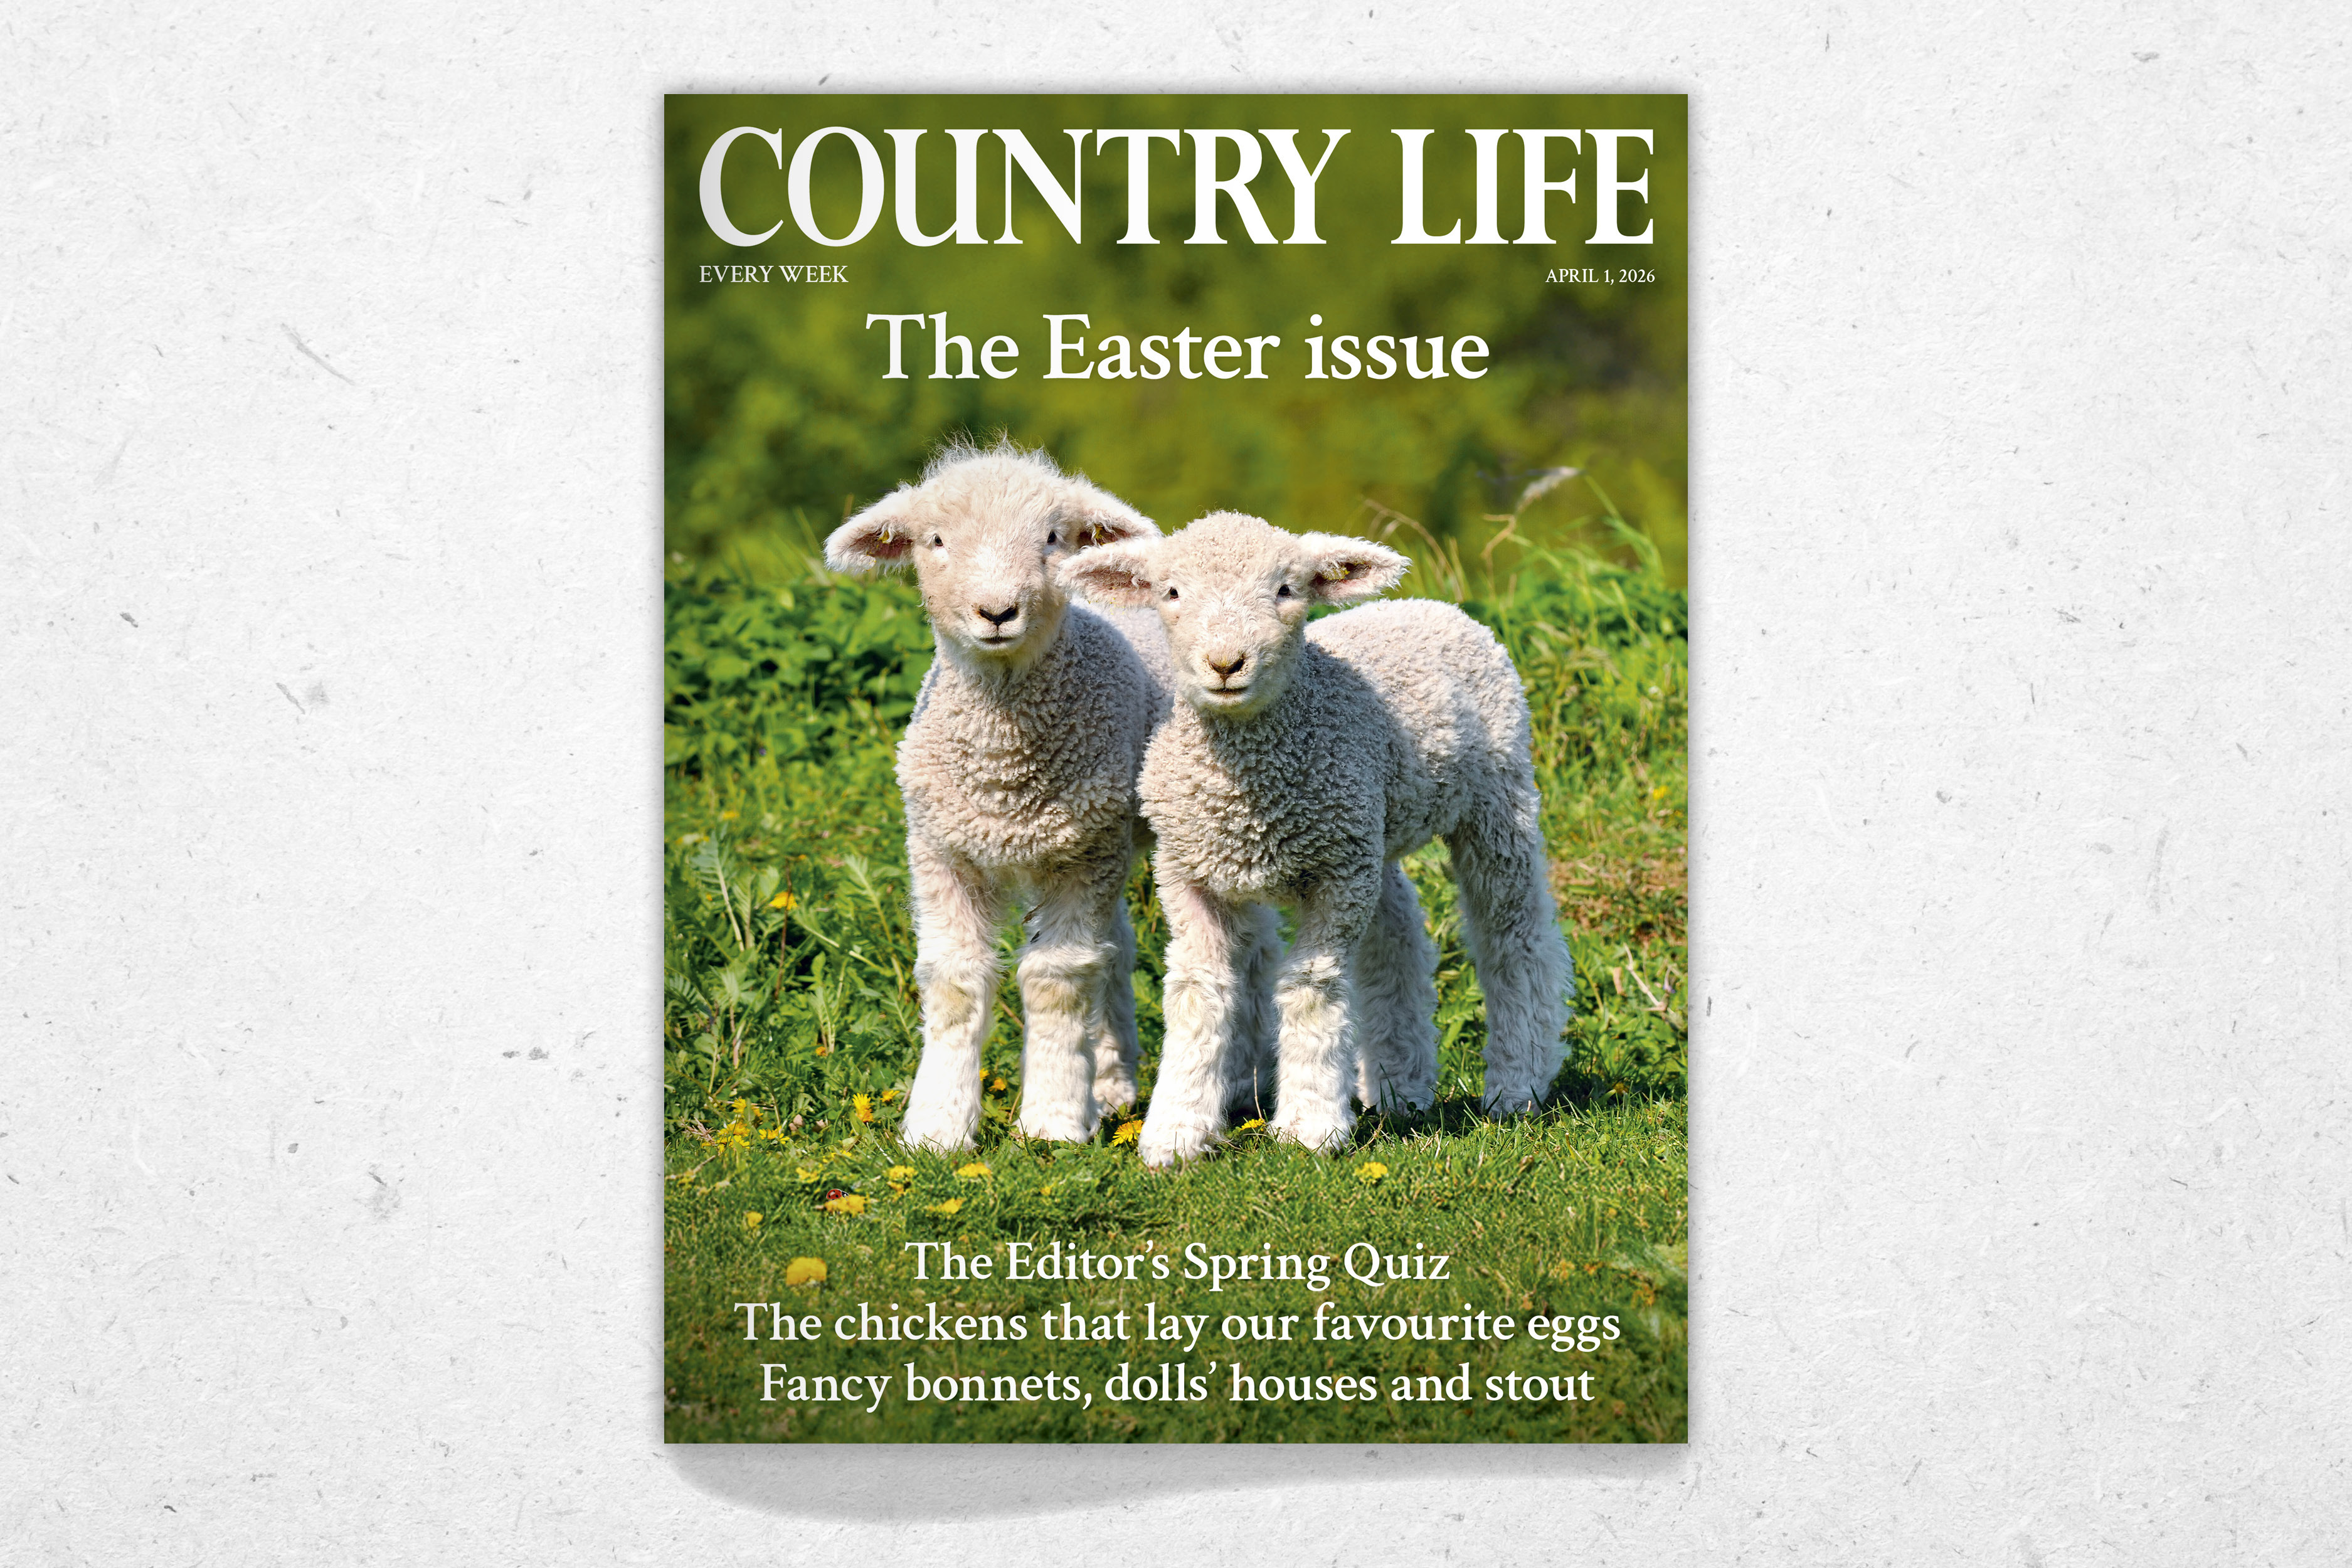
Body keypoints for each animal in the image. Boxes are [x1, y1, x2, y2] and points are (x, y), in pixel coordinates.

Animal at [822, 444, 1277, 1152]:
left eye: (1052, 538)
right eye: (936, 540)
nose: (997, 611)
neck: (1004, 770)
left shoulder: (1080, 856)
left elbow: (1056, 980)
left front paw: (1054, 1120)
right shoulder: (941, 851)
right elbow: (954, 982)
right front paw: (938, 1126)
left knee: (1243, 943)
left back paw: (1233, 1081)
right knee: (1116, 945)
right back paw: (1113, 1081)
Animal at [1061, 510, 1574, 1168]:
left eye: (1286, 589)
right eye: (1170, 592)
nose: (1226, 663)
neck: (1248, 792)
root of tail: (1435, 607)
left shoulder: (1336, 875)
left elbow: (1310, 989)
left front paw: (1309, 1127)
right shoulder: (1188, 874)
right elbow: (1198, 994)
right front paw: (1176, 1132)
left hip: (1495, 796)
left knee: (1514, 935)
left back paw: (1518, 1085)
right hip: (1372, 828)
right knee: (1396, 934)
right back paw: (1400, 1088)